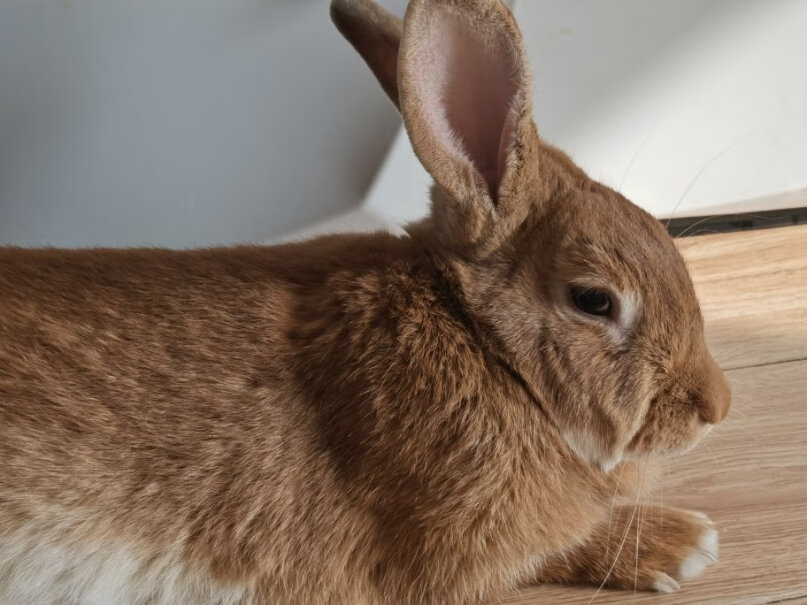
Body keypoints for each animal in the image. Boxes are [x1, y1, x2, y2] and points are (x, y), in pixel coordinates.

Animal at [0, 1, 732, 604]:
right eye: (593, 300)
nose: (716, 406)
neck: (483, 345)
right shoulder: (452, 545)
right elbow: (544, 553)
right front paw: (683, 543)